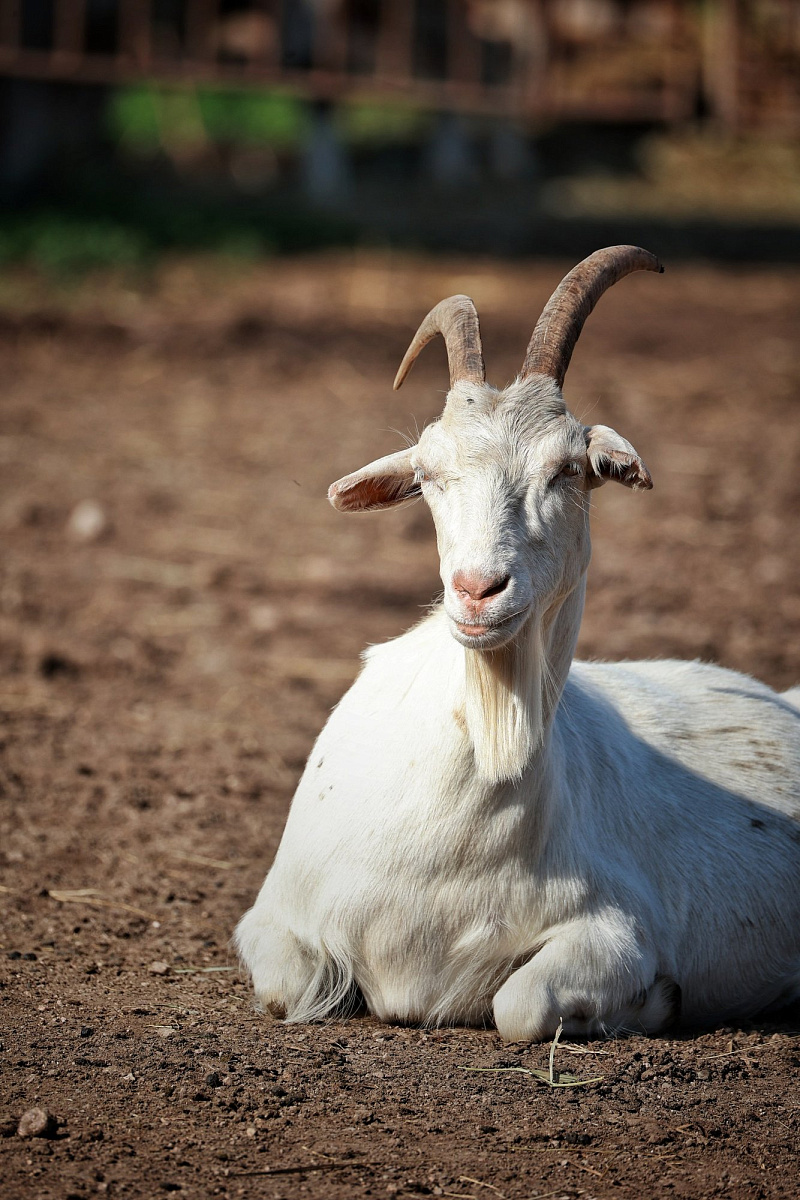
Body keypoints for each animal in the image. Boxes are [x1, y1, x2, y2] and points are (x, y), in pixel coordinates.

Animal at [236, 246, 800, 1040]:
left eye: (569, 469)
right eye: (427, 475)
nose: (479, 589)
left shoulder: (613, 926)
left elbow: (520, 1005)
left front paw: (654, 1000)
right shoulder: (274, 916)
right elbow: (290, 987)